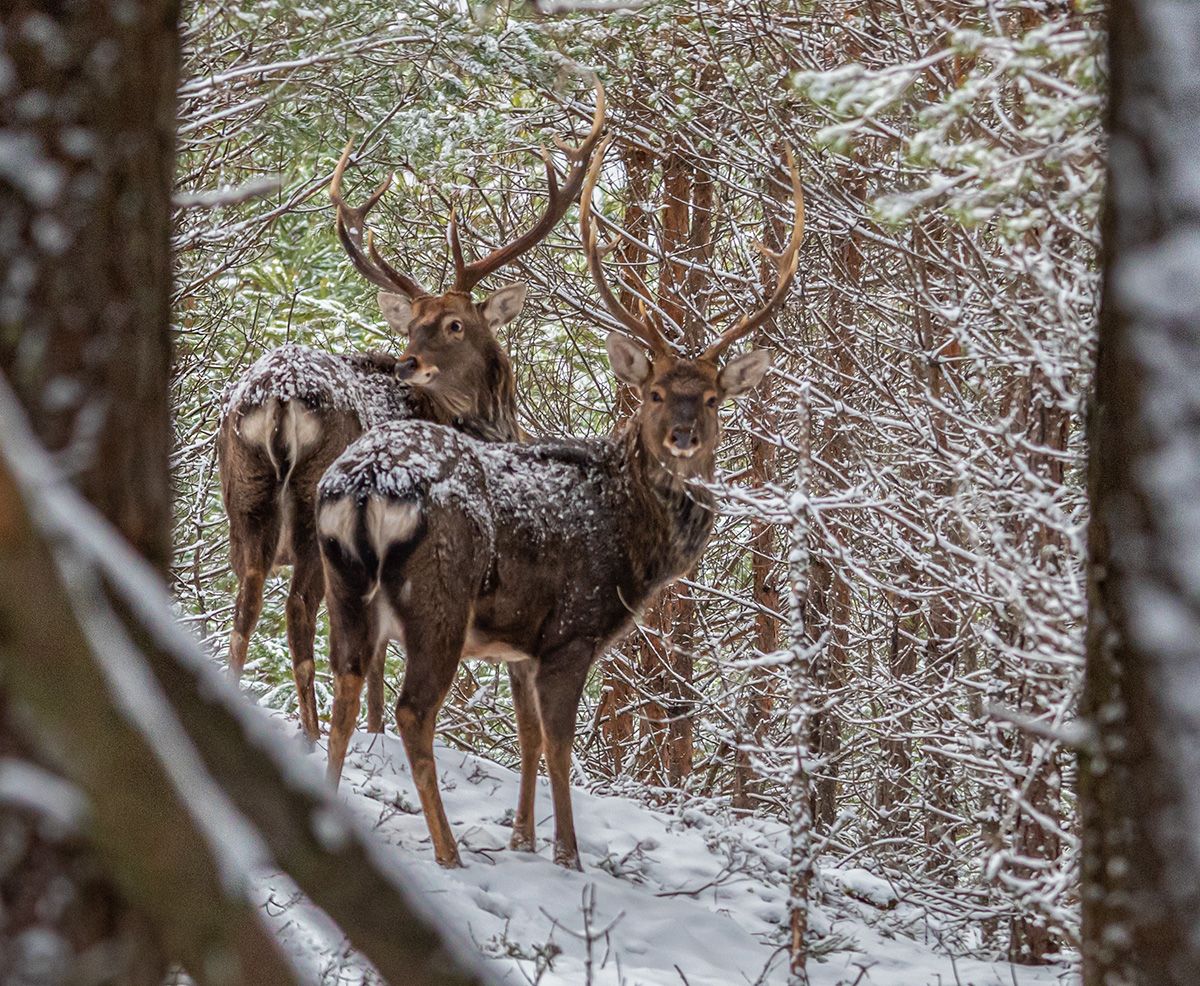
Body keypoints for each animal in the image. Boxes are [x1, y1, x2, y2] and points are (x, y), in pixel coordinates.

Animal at [216, 88, 604, 738]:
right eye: (415, 324)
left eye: (453, 324)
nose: (406, 362)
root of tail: (276, 397)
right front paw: (374, 732)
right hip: (314, 505)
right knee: (298, 609)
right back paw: (312, 733)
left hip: (242, 491)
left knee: (244, 604)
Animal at [316, 134, 806, 868]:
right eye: (654, 392)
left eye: (714, 398)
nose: (683, 437)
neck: (633, 542)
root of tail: (367, 483)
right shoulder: (574, 630)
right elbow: (560, 743)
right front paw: (568, 854)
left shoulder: (522, 643)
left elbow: (527, 736)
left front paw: (523, 837)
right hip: (441, 596)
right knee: (412, 710)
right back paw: (449, 852)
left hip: (344, 586)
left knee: (344, 688)